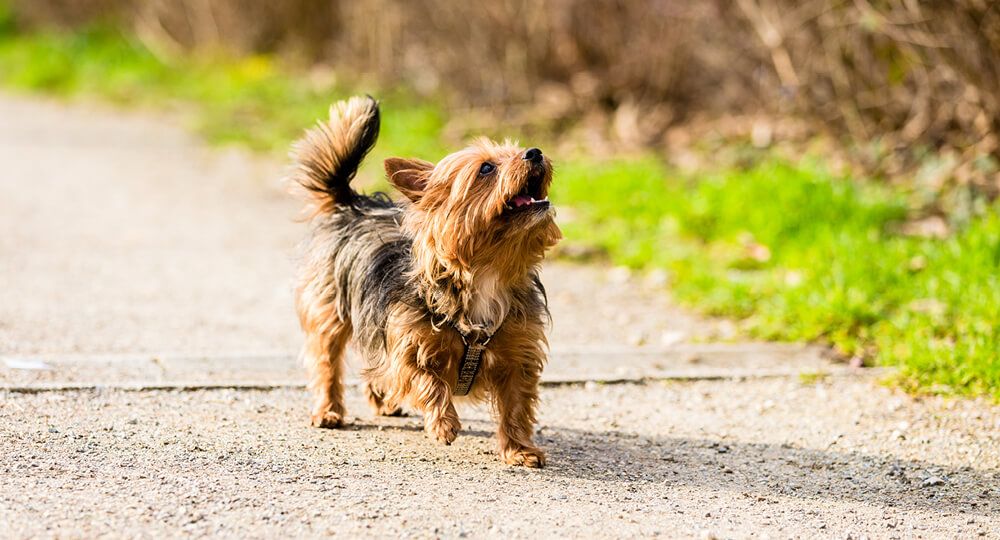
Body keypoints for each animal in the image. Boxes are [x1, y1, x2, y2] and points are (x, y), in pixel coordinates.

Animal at [290, 95, 564, 466]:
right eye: (486, 169)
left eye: (518, 149)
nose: (534, 152)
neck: (485, 272)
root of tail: (354, 203)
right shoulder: (407, 346)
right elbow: (425, 380)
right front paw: (444, 423)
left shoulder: (518, 357)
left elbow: (516, 407)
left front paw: (519, 449)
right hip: (330, 311)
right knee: (326, 361)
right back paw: (328, 410)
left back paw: (380, 400)